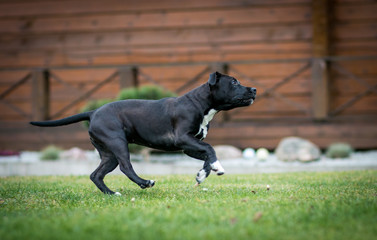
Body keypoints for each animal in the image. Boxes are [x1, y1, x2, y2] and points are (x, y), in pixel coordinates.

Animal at [30, 71, 256, 195]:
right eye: (234, 82)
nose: (254, 89)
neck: (201, 103)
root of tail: (93, 112)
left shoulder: (189, 145)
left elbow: (207, 155)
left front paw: (204, 174)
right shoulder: (183, 138)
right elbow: (210, 149)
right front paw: (216, 167)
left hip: (108, 153)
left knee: (96, 175)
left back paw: (112, 194)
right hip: (118, 143)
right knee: (126, 167)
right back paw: (145, 182)